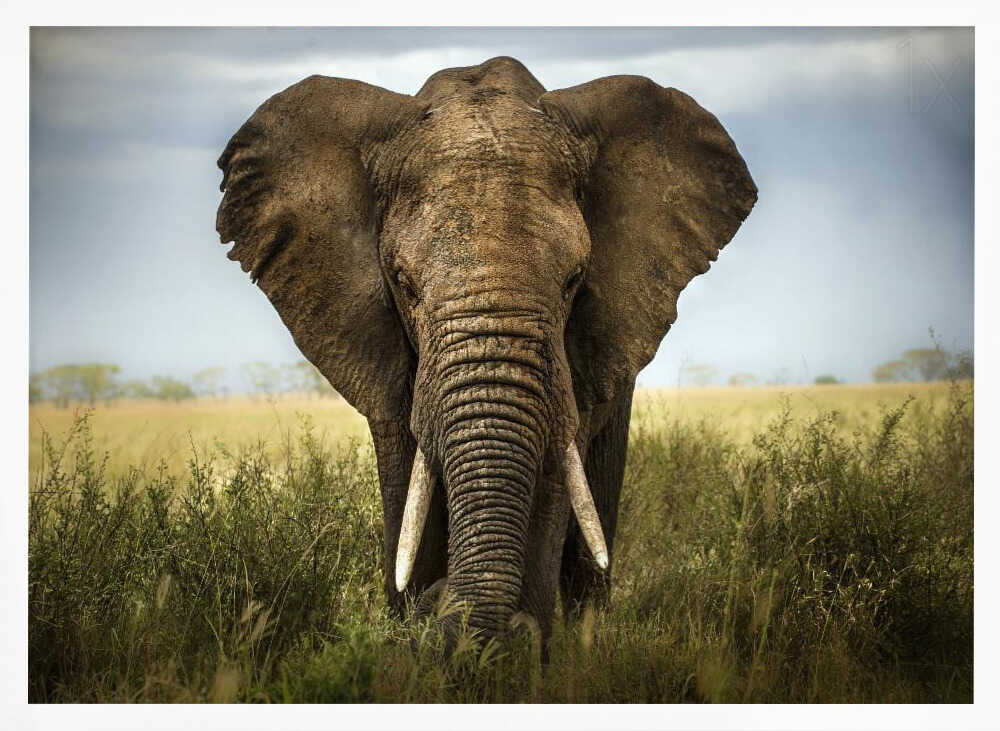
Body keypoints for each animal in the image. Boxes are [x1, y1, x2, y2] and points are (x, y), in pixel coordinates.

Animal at [216, 56, 756, 648]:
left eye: (574, 281)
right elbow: (408, 481)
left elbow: (553, 478)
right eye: (404, 284)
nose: (437, 605)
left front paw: (517, 647)